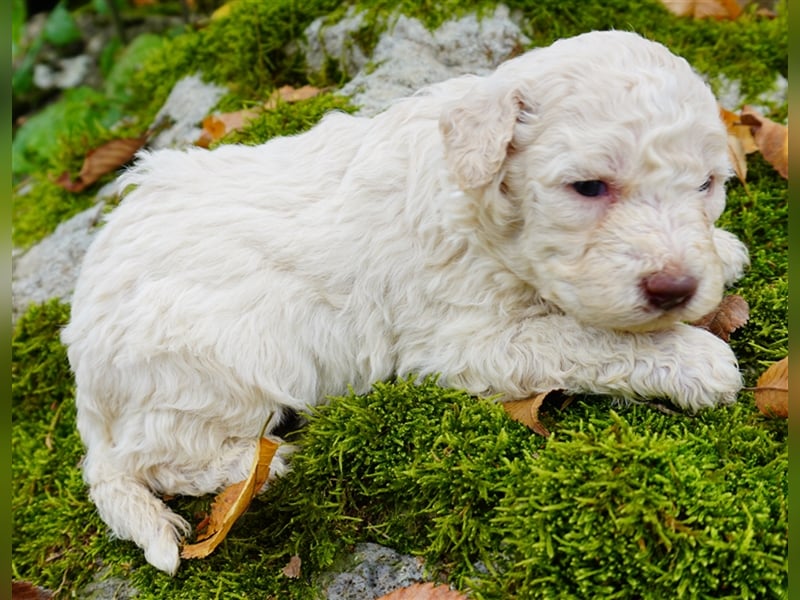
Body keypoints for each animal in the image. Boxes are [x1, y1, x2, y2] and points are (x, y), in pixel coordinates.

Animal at [62, 30, 752, 576]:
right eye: (588, 187)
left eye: (706, 184)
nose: (676, 287)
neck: (478, 199)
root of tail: (86, 380)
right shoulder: (462, 342)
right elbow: (584, 336)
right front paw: (695, 359)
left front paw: (722, 250)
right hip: (214, 362)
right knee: (156, 458)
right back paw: (263, 462)